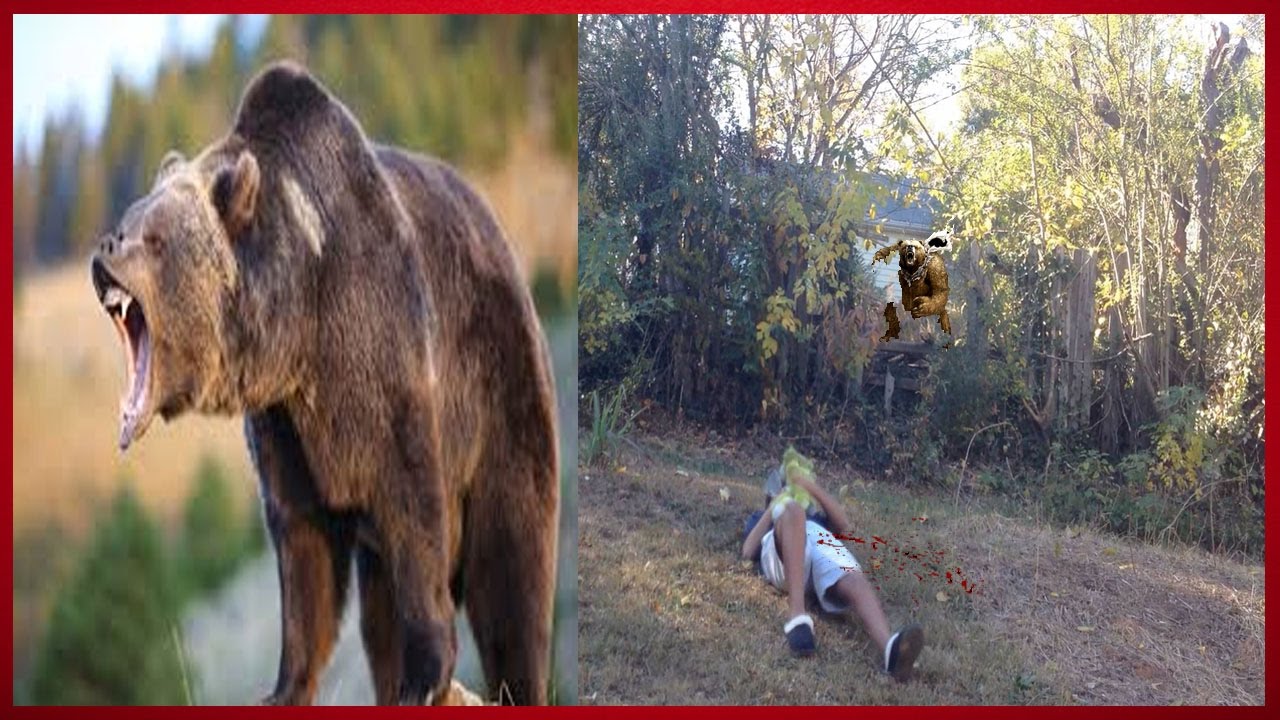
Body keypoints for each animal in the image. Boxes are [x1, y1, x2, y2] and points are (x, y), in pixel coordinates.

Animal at [89, 62, 559, 706]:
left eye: (155, 239)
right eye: (128, 221)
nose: (106, 246)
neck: (303, 323)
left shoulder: (383, 358)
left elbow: (415, 512)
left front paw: (424, 677)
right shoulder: (286, 427)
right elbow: (300, 544)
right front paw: (283, 687)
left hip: (503, 390)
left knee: (512, 563)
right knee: (380, 610)